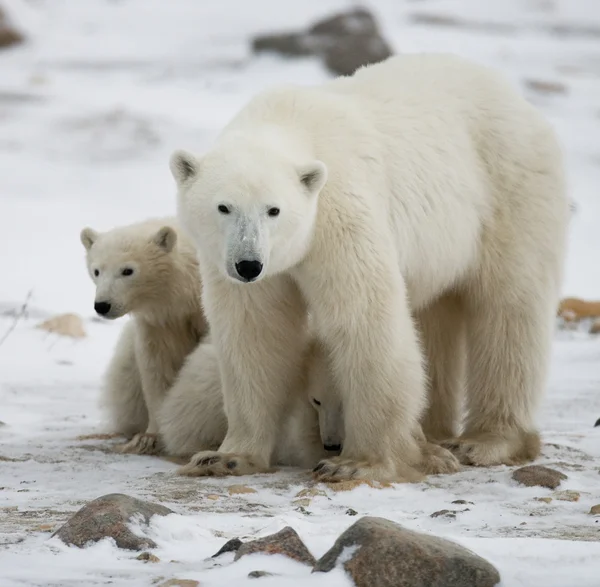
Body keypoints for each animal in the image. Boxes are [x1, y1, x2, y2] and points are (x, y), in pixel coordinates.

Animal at [80, 218, 209, 452]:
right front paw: (151, 436)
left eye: (127, 270)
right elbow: (157, 367)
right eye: (96, 271)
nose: (102, 305)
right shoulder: (159, 323)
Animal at [169, 54, 568, 482]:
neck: (289, 122)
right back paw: (433, 435)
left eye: (273, 209)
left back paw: (485, 440)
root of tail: (516, 98)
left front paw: (356, 463)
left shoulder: (339, 213)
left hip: (509, 189)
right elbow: (255, 331)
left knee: (509, 308)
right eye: (223, 207)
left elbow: (363, 318)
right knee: (435, 316)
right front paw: (226, 457)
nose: (248, 264)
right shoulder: (242, 265)